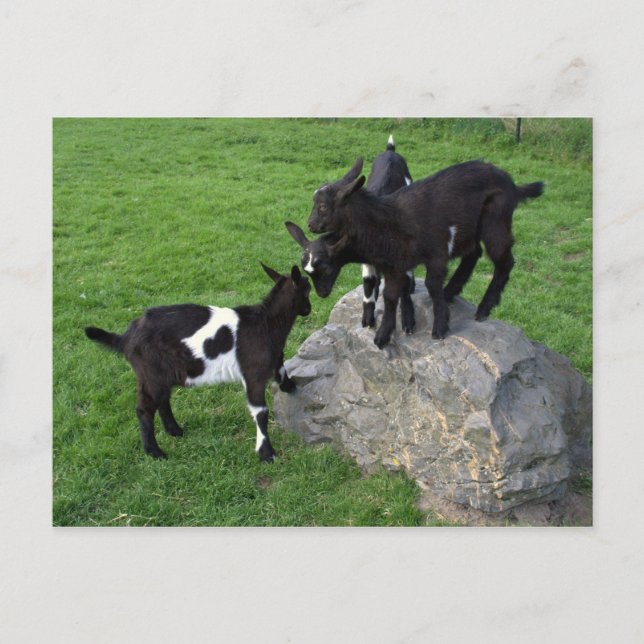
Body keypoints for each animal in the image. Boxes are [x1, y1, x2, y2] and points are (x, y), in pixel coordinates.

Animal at [84, 263, 311, 461]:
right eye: (307, 288)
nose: (308, 309)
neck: (265, 324)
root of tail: (126, 337)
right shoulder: (253, 373)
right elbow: (261, 412)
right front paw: (267, 454)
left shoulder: (274, 358)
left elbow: (281, 370)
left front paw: (291, 386)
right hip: (150, 373)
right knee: (145, 409)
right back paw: (155, 452)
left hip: (162, 373)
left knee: (163, 399)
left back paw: (175, 431)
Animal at [302, 158, 543, 348]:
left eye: (323, 206)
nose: (310, 225)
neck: (388, 222)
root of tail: (512, 184)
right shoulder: (394, 266)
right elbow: (390, 297)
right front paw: (383, 335)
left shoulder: (436, 254)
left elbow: (431, 285)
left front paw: (440, 327)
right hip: (469, 228)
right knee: (474, 253)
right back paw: (451, 291)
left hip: (496, 219)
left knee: (504, 261)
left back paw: (484, 308)